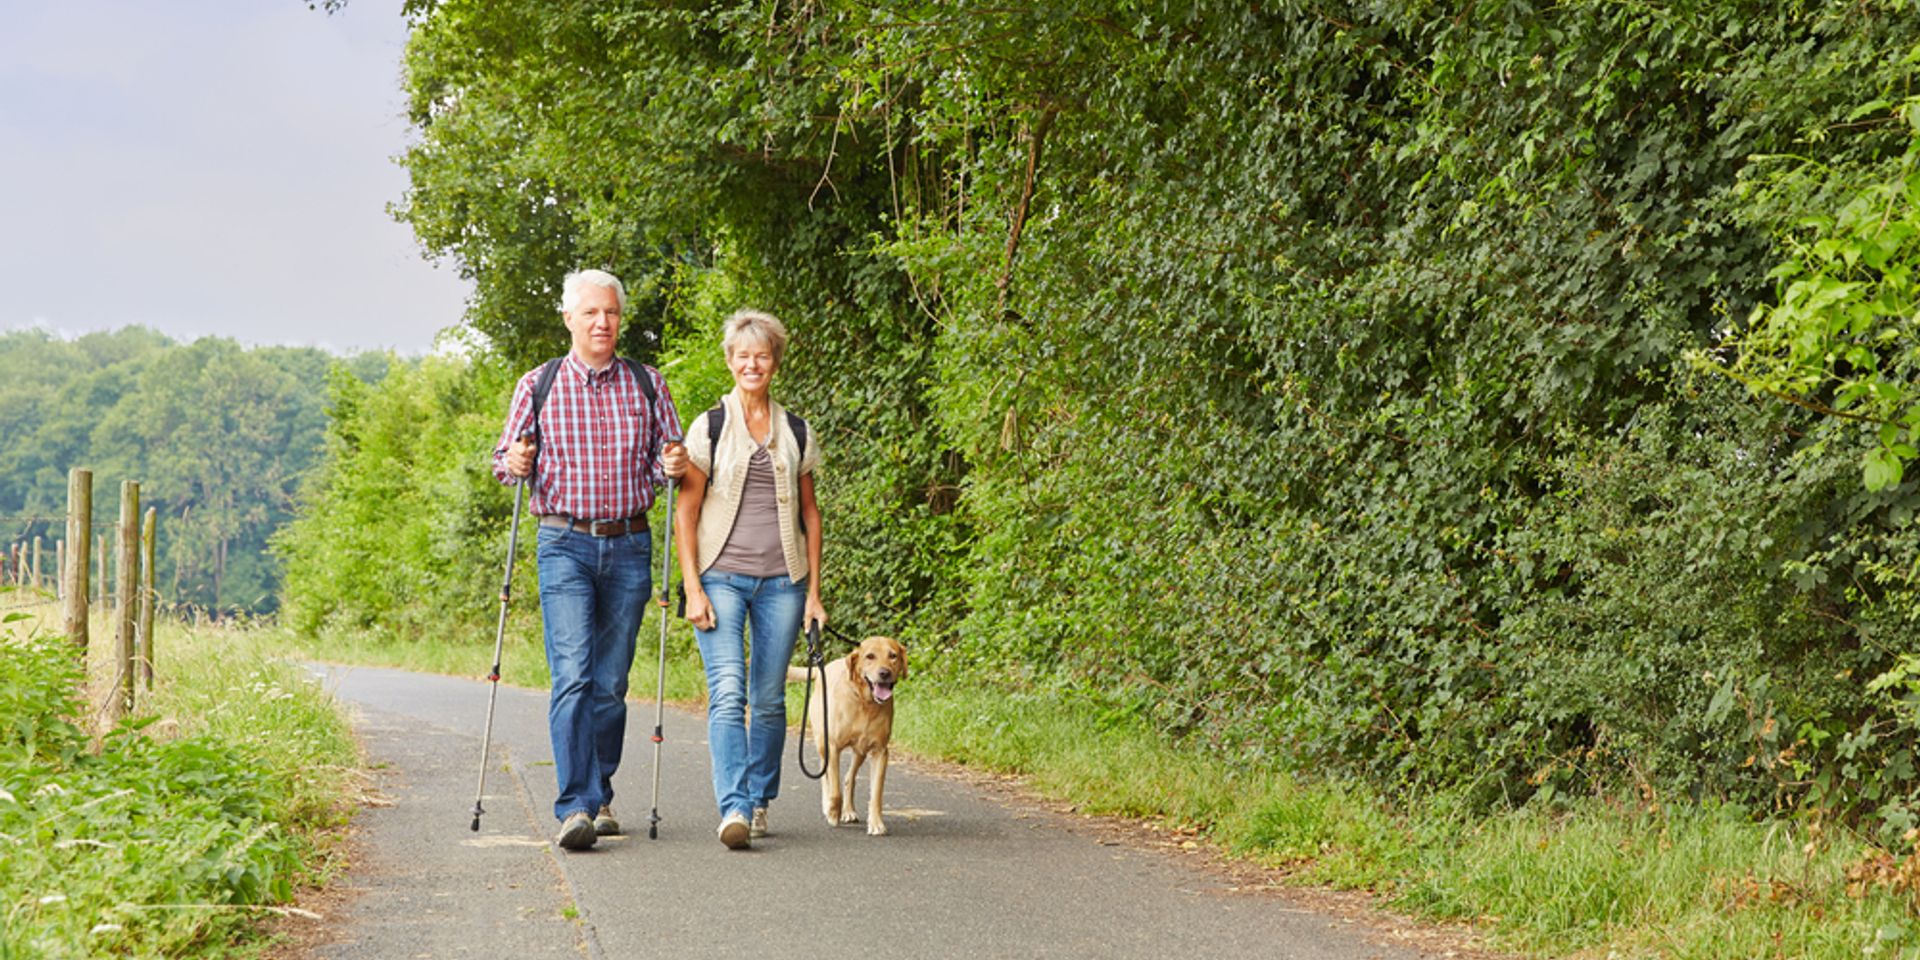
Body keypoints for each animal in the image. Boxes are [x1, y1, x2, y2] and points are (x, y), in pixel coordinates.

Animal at [794, 637, 913, 833]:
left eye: (893, 656)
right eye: (870, 656)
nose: (884, 673)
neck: (865, 703)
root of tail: (823, 668)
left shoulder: (880, 751)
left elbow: (876, 793)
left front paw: (876, 823)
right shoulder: (833, 747)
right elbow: (835, 790)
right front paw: (833, 813)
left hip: (860, 751)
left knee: (849, 777)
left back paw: (848, 810)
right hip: (822, 742)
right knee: (825, 776)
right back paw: (827, 805)